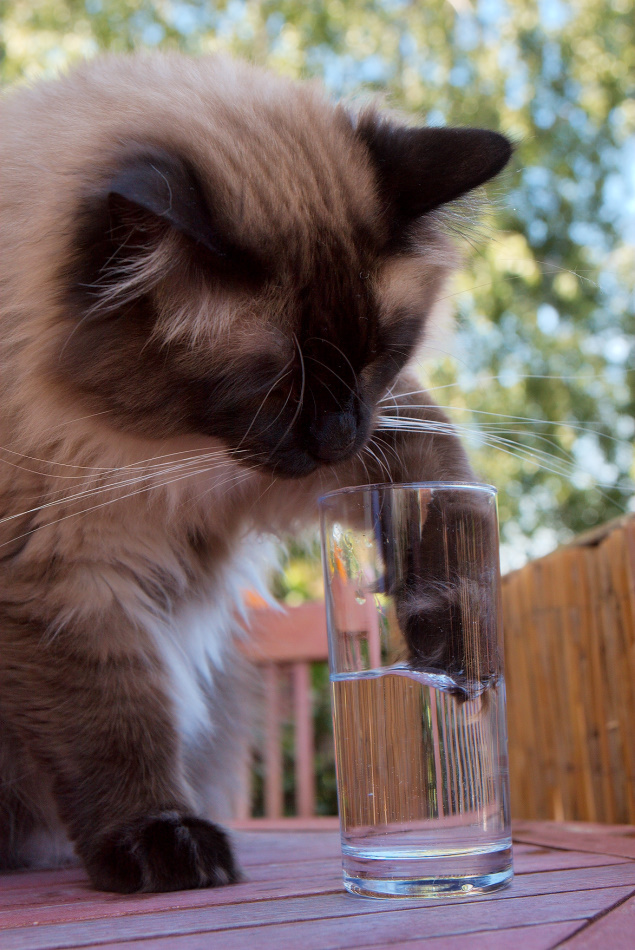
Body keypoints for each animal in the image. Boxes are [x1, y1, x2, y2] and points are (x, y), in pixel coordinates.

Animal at [0, 52, 510, 896]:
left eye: (378, 356)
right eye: (275, 386)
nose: (339, 434)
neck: (150, 450)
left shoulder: (301, 462)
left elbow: (439, 507)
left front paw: (451, 660)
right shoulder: (65, 580)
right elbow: (117, 725)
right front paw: (165, 845)